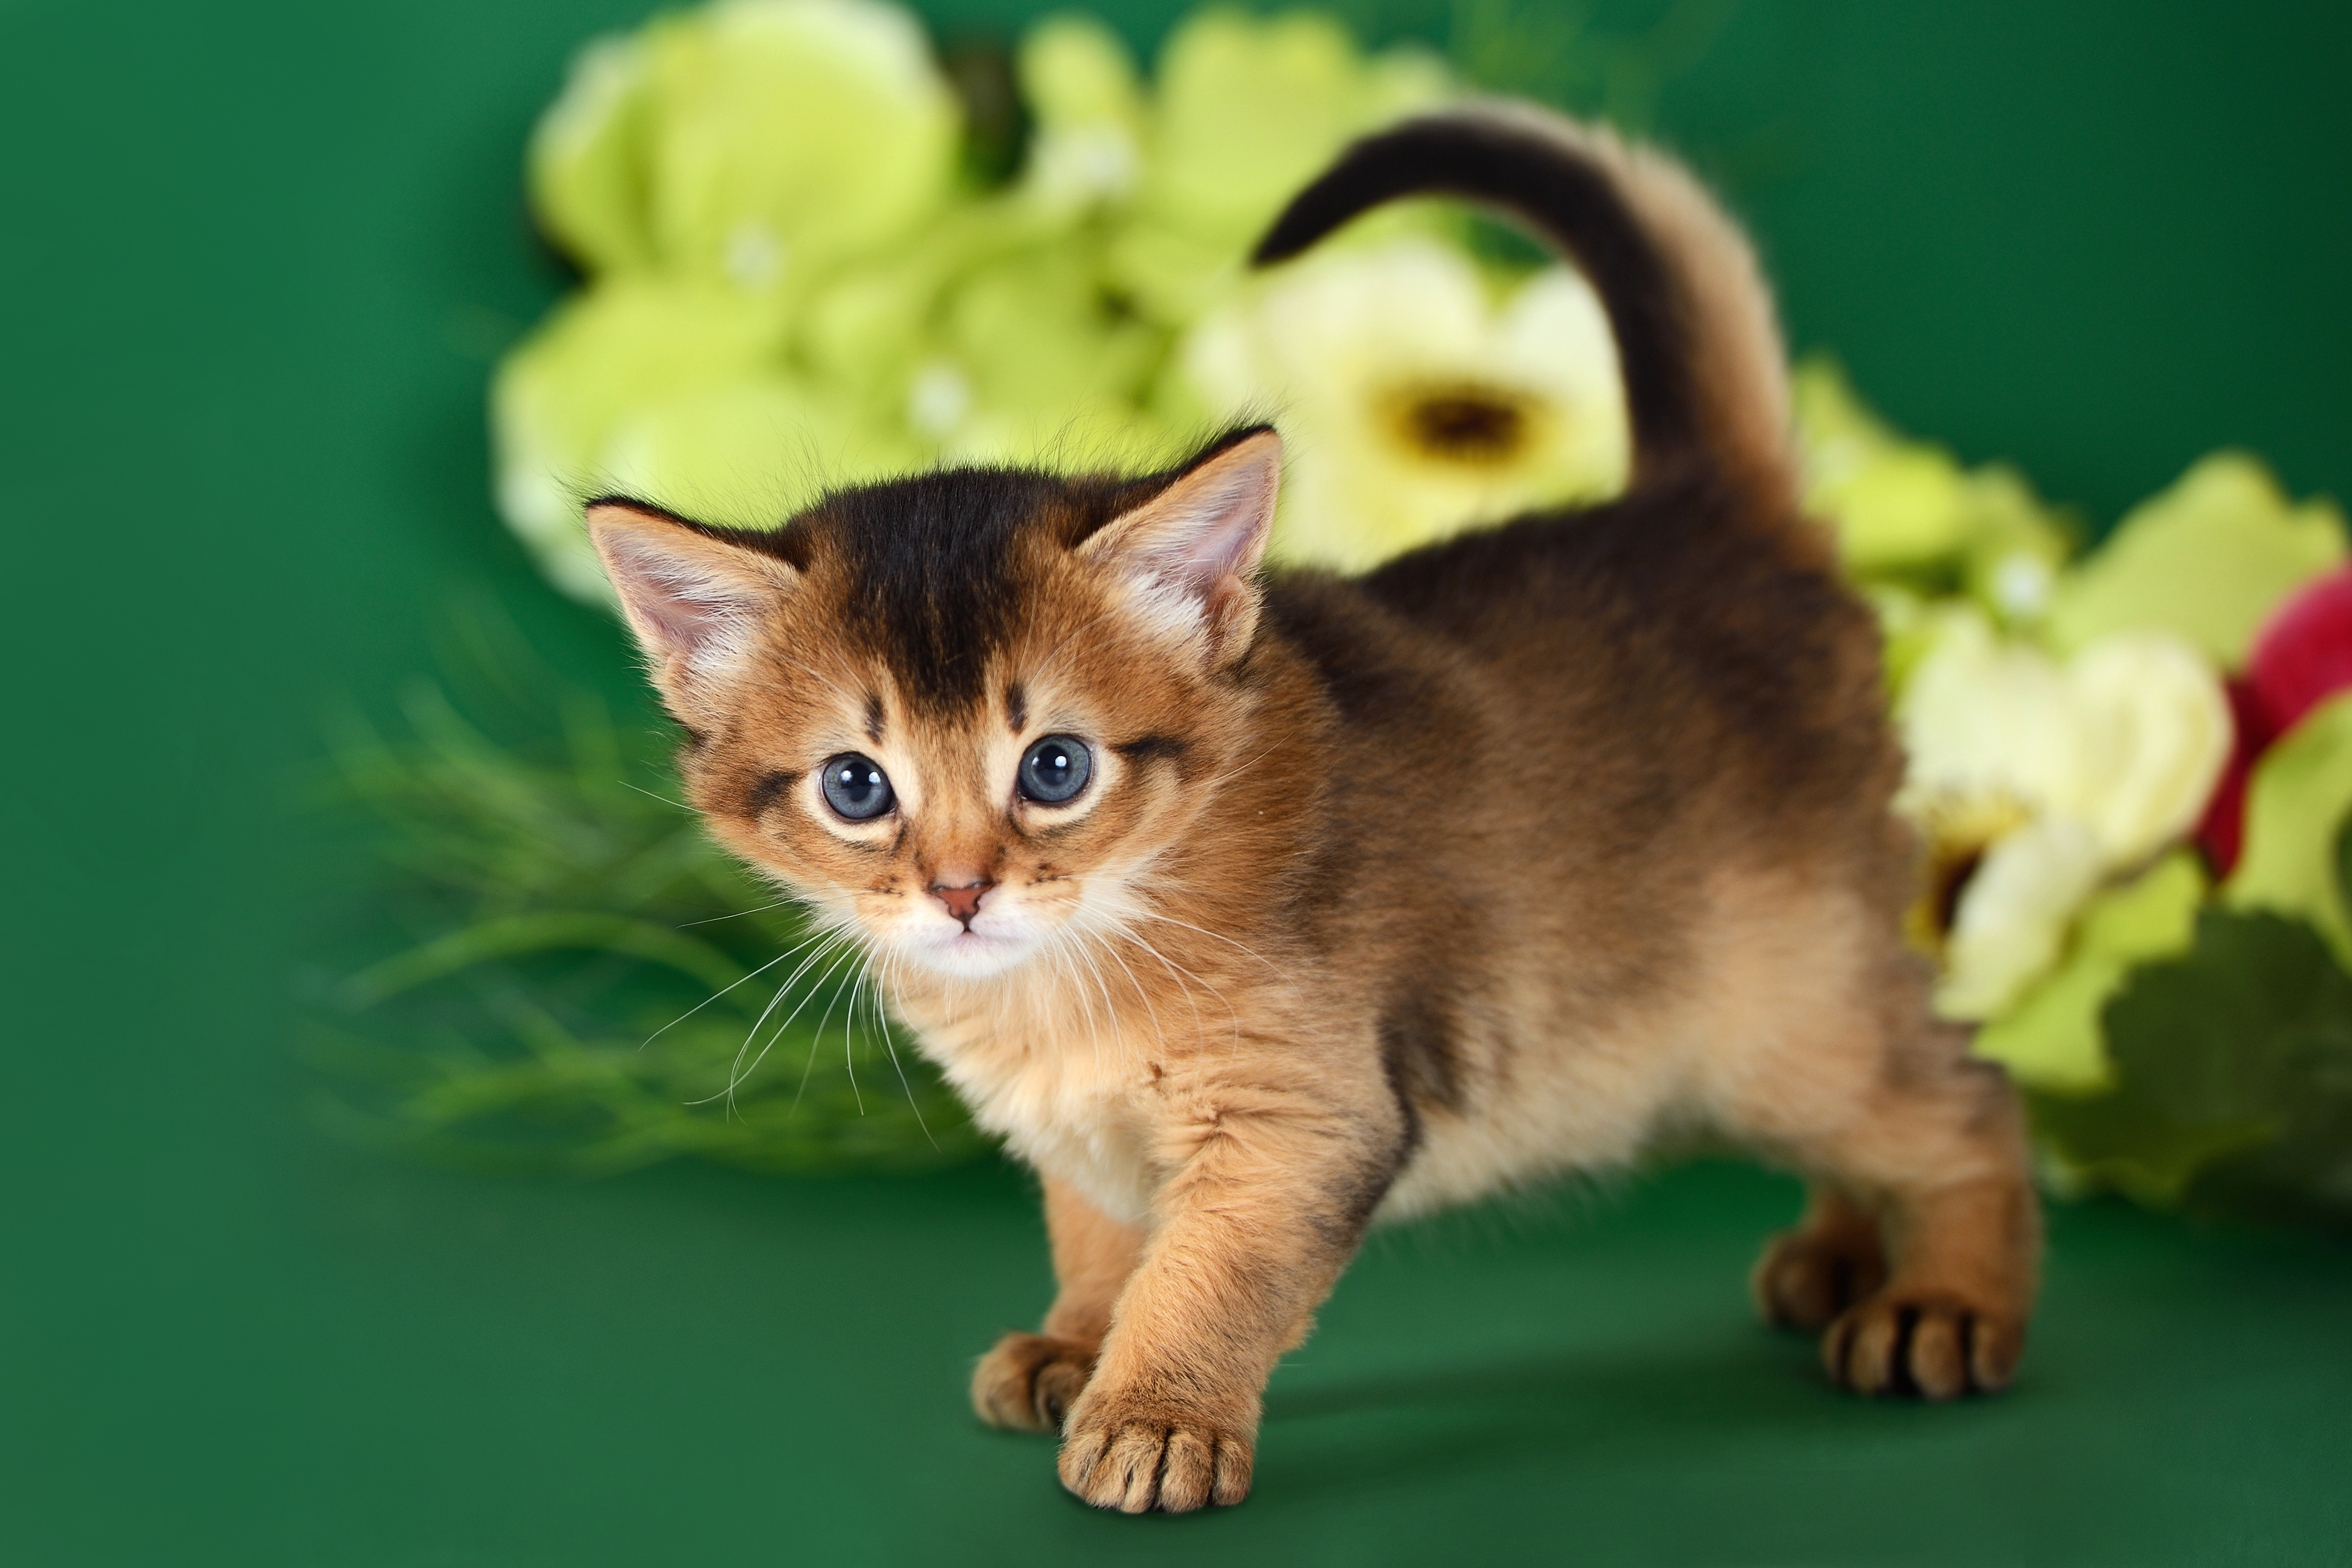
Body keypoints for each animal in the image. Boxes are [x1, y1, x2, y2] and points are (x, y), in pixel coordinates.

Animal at [583, 103, 2042, 1514]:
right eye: (856, 785)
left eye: (1053, 768)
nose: (957, 892)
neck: (1068, 985)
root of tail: (1708, 514)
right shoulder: (1083, 1138)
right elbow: (1107, 1238)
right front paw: (1077, 1341)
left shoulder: (1302, 1119)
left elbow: (1204, 1277)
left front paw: (1155, 1415)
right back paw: (1838, 1254)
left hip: (1783, 1015)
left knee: (1968, 1095)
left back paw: (1938, 1300)